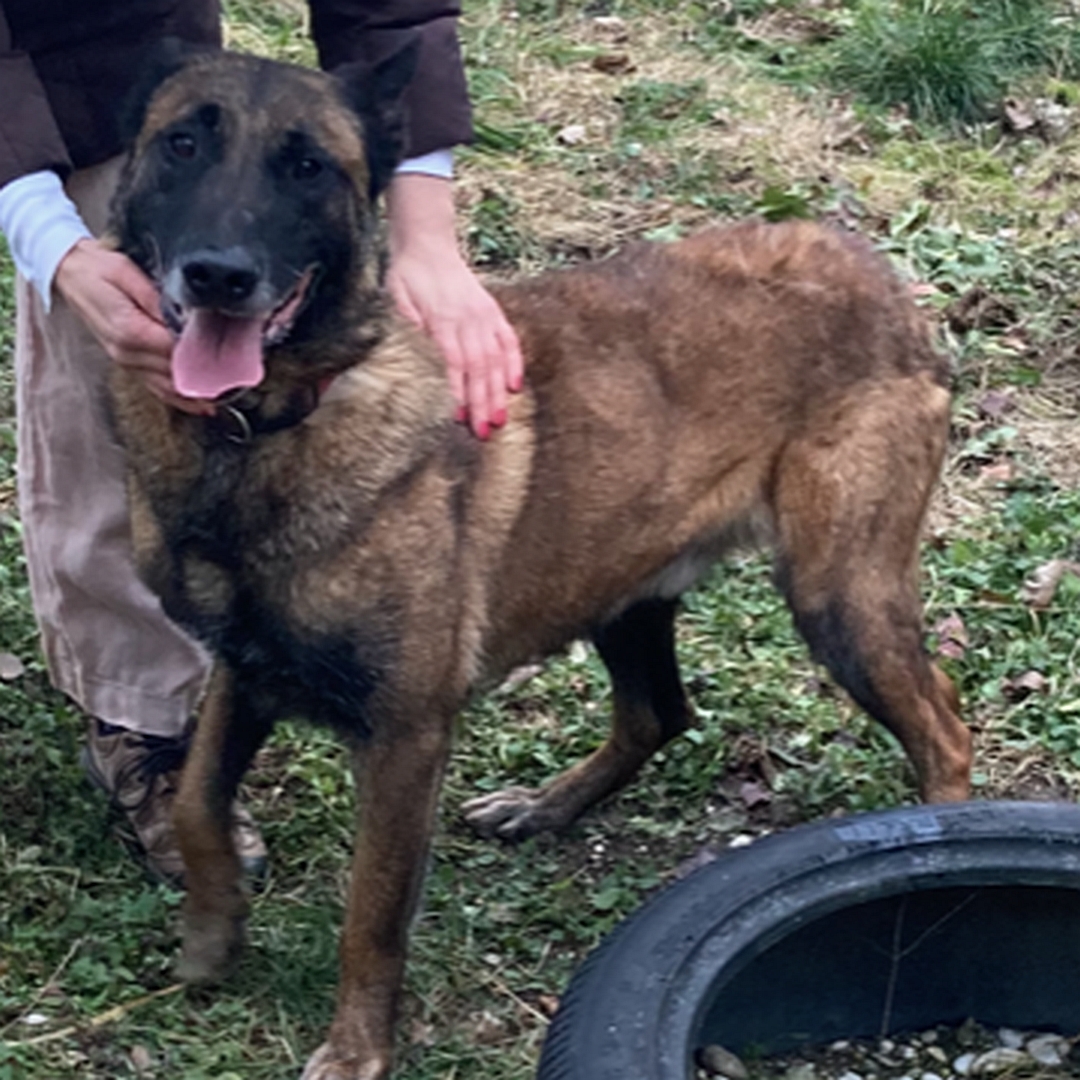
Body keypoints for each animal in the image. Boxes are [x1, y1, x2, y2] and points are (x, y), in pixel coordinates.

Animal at [105, 44, 976, 1080]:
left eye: (307, 166)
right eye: (181, 144)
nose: (218, 277)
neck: (261, 432)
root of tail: (878, 275)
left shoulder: (404, 735)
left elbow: (371, 915)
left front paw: (357, 1048)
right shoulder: (245, 672)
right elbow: (199, 801)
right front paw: (213, 930)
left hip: (838, 594)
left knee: (943, 728)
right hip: (626, 589)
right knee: (658, 712)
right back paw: (547, 805)